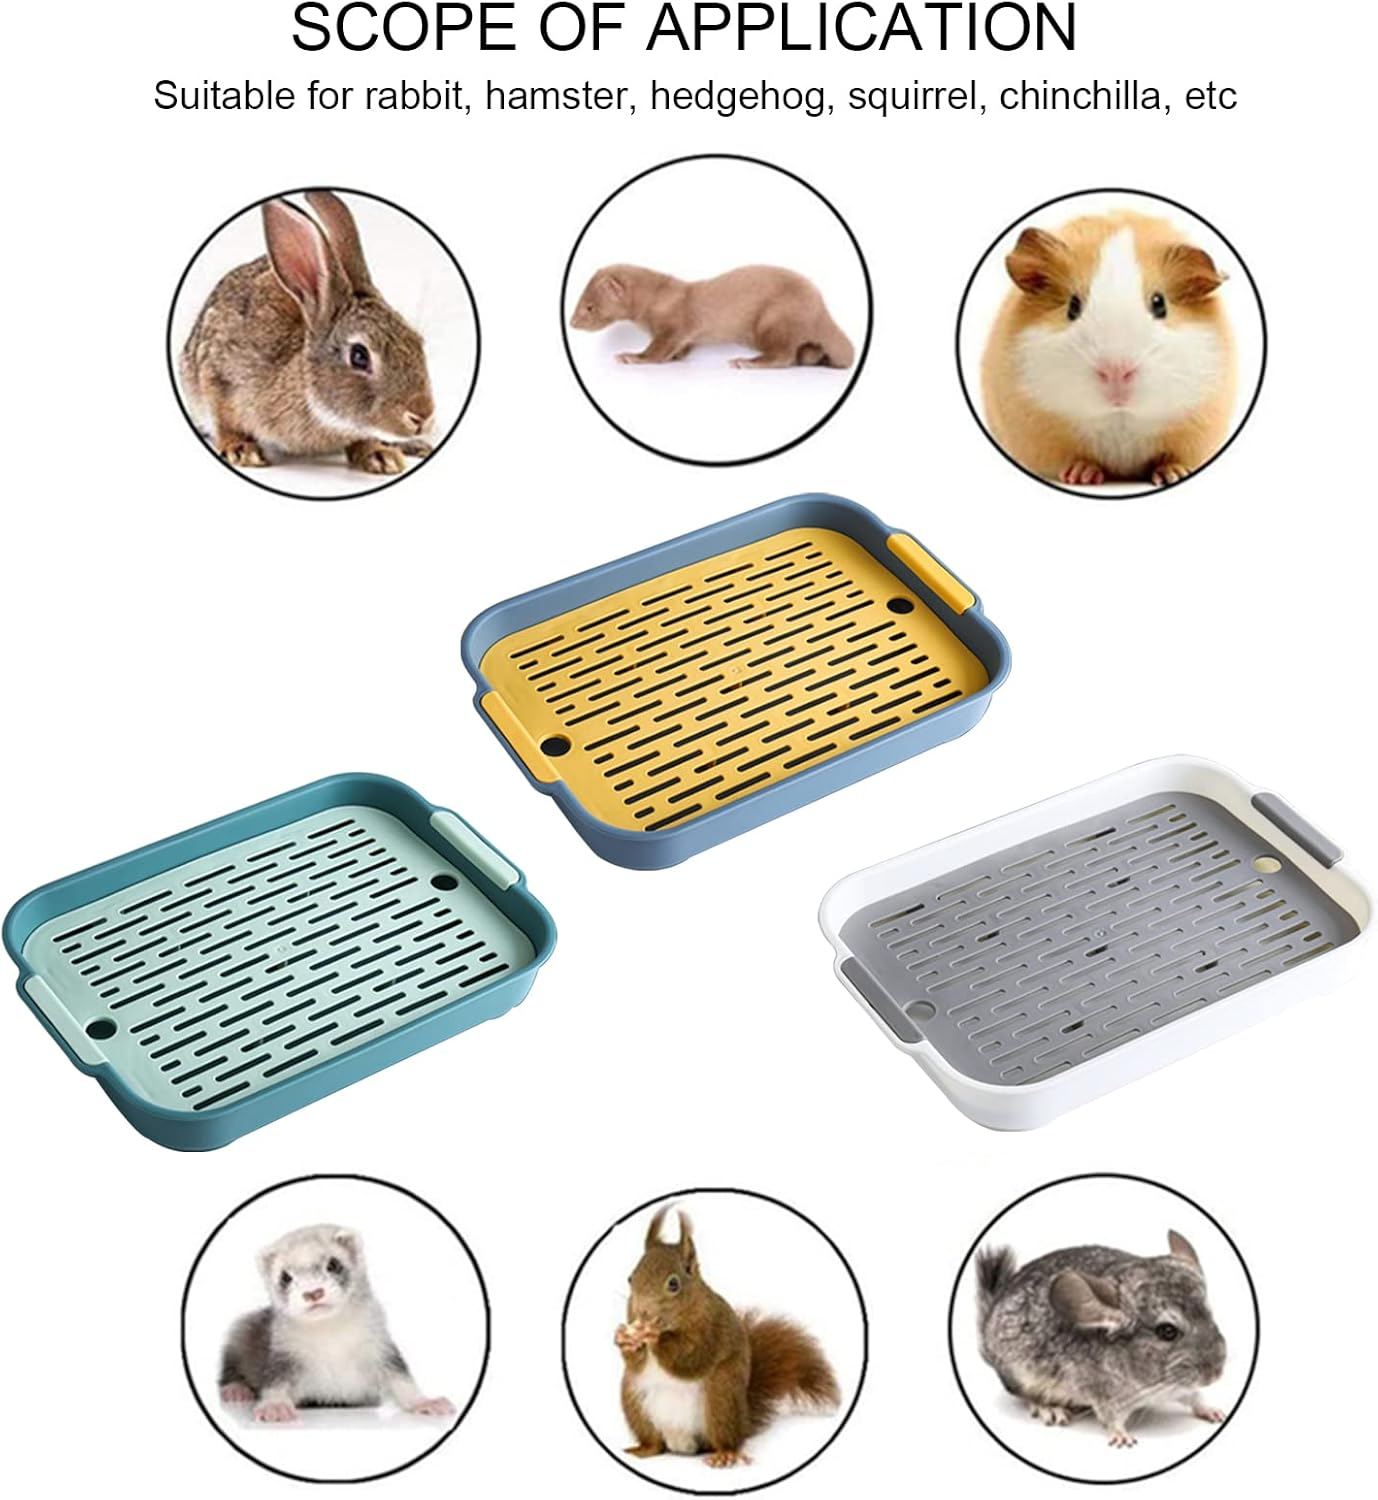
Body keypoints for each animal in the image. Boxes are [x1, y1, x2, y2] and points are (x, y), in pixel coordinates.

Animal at [179, 190, 435, 477]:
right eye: (359, 356)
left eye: (417, 341)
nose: (422, 416)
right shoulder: (217, 375)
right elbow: (226, 423)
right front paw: (241, 450)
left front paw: (380, 455)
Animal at [975, 1230, 1228, 1448]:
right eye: (1167, 1331)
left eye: (1210, 1315)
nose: (1216, 1374)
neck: (1154, 1385)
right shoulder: (1104, 1395)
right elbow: (1111, 1419)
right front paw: (1122, 1437)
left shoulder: (1182, 1388)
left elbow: (1196, 1398)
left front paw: (1214, 1412)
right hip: (1019, 1375)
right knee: (1025, 1395)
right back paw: (1050, 1409)